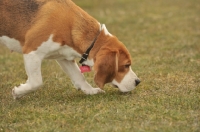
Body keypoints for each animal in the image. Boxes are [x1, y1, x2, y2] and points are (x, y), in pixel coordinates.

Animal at [0, 0, 141, 99]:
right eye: (126, 65)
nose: (138, 81)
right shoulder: (32, 51)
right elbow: (36, 81)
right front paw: (18, 92)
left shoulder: (64, 57)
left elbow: (79, 77)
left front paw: (90, 90)